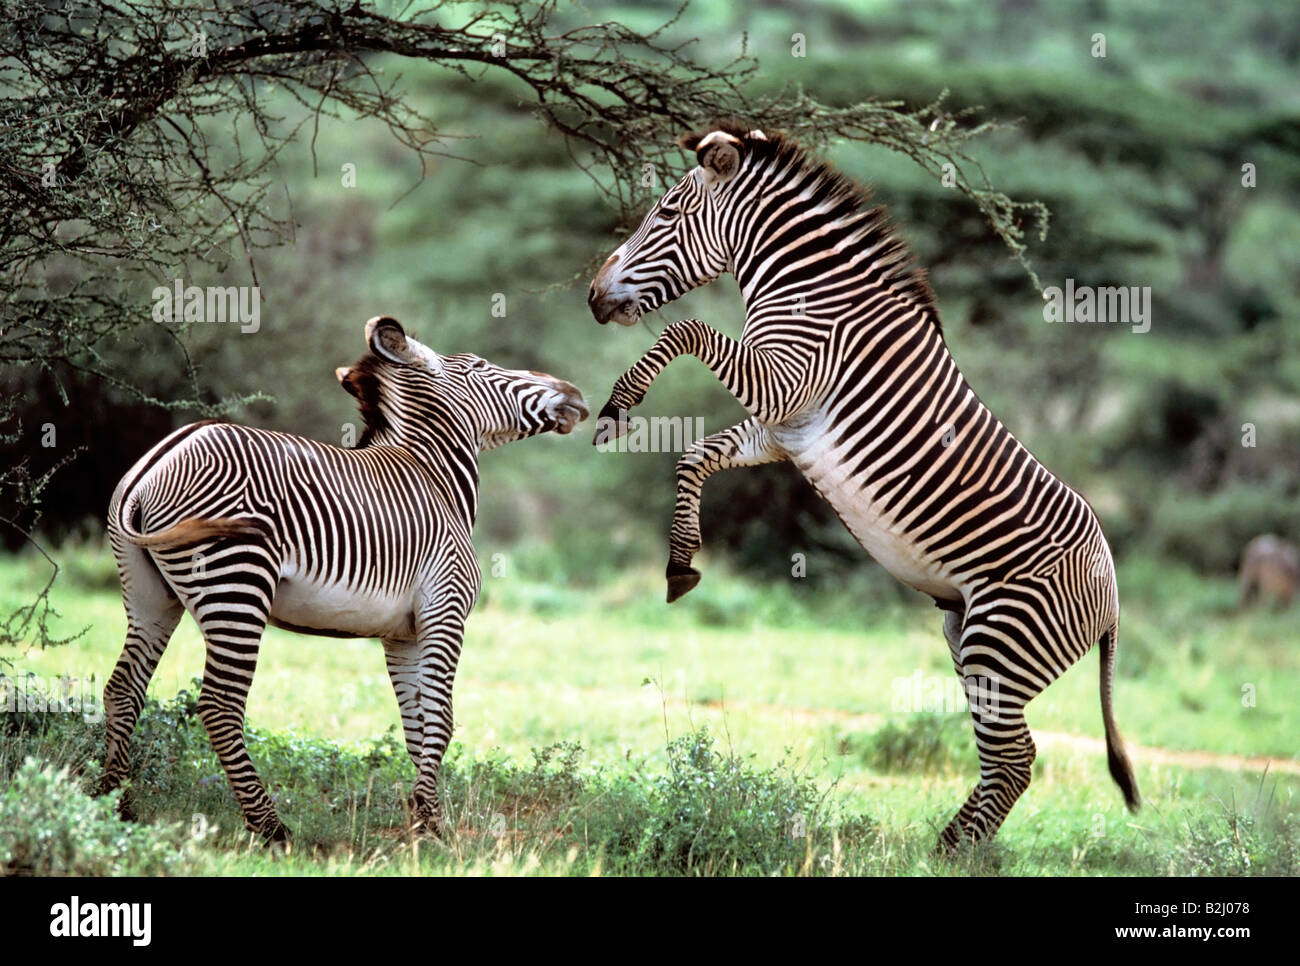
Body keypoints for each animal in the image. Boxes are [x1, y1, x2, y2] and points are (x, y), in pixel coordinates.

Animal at [101, 317, 590, 837]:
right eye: (481, 365)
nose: (575, 393)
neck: (435, 478)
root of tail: (159, 459)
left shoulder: (402, 634)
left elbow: (416, 727)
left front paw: (421, 820)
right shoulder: (446, 609)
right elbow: (441, 722)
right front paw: (434, 830)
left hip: (150, 597)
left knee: (123, 689)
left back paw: (115, 805)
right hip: (236, 584)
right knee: (219, 704)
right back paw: (270, 827)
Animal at [590, 124, 1138, 847]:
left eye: (668, 213)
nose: (592, 296)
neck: (809, 291)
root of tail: (1112, 592)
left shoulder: (785, 384)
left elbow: (687, 329)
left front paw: (619, 403)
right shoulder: (782, 428)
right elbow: (693, 457)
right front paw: (681, 563)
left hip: (1002, 638)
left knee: (1016, 757)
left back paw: (950, 853)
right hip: (968, 635)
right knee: (1008, 758)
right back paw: (951, 850)